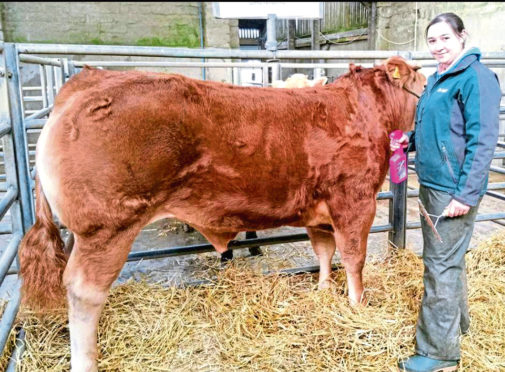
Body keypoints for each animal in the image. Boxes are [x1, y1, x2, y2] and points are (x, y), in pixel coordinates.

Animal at [17, 56, 424, 372]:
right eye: (421, 76)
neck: (362, 111)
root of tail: (90, 79)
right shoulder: (356, 201)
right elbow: (354, 258)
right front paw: (358, 304)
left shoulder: (319, 209)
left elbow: (324, 251)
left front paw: (324, 290)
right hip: (107, 229)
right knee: (84, 291)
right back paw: (86, 359)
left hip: (83, 233)